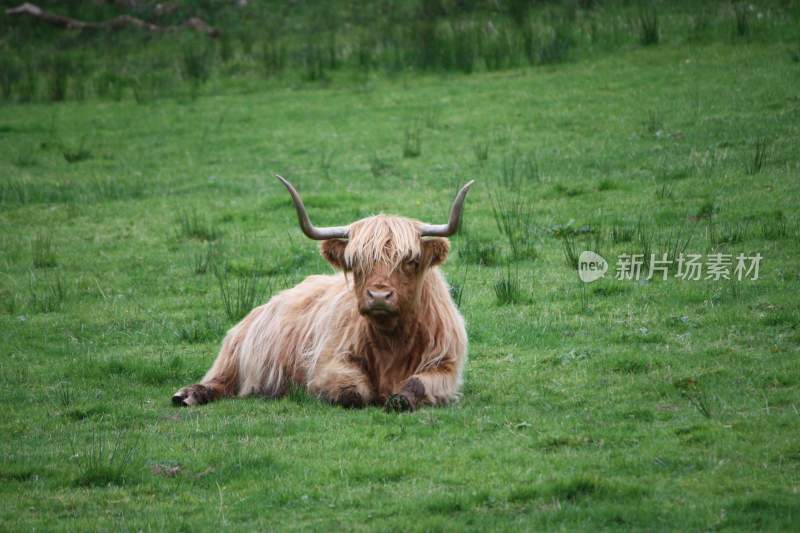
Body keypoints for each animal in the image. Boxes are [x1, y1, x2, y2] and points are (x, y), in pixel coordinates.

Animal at [169, 176, 468, 412]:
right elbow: (353, 393)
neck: (391, 341)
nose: (379, 297)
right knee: (218, 380)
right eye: (356, 262)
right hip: (235, 356)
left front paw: (398, 399)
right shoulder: (327, 362)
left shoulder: (445, 365)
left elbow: (415, 386)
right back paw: (187, 395)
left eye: (411, 260)